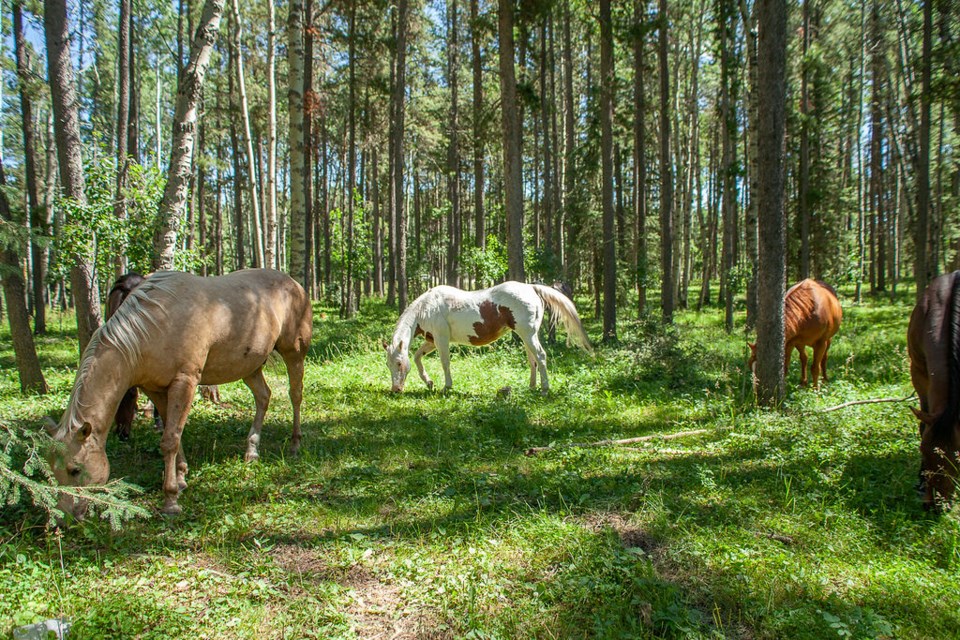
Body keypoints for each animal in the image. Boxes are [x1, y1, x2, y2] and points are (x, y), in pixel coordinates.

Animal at [47, 268, 312, 516]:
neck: (152, 324)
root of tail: (294, 284)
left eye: (75, 469)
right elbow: (173, 432)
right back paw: (252, 451)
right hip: (250, 367)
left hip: (294, 353)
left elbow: (170, 439)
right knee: (263, 397)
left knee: (295, 395)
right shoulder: (154, 388)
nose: (64, 516)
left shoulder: (185, 381)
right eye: (53, 470)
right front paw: (182, 477)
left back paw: (295, 444)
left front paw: (171, 500)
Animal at [382, 282, 592, 392]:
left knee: (540, 356)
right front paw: (429, 382)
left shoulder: (441, 340)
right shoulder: (431, 341)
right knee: (532, 359)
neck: (426, 308)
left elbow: (445, 363)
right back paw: (532, 386)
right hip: (526, 336)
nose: (396, 389)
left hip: (528, 334)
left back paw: (545, 389)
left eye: (399, 363)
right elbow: (417, 357)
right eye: (388, 365)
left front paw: (446, 387)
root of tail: (531, 287)